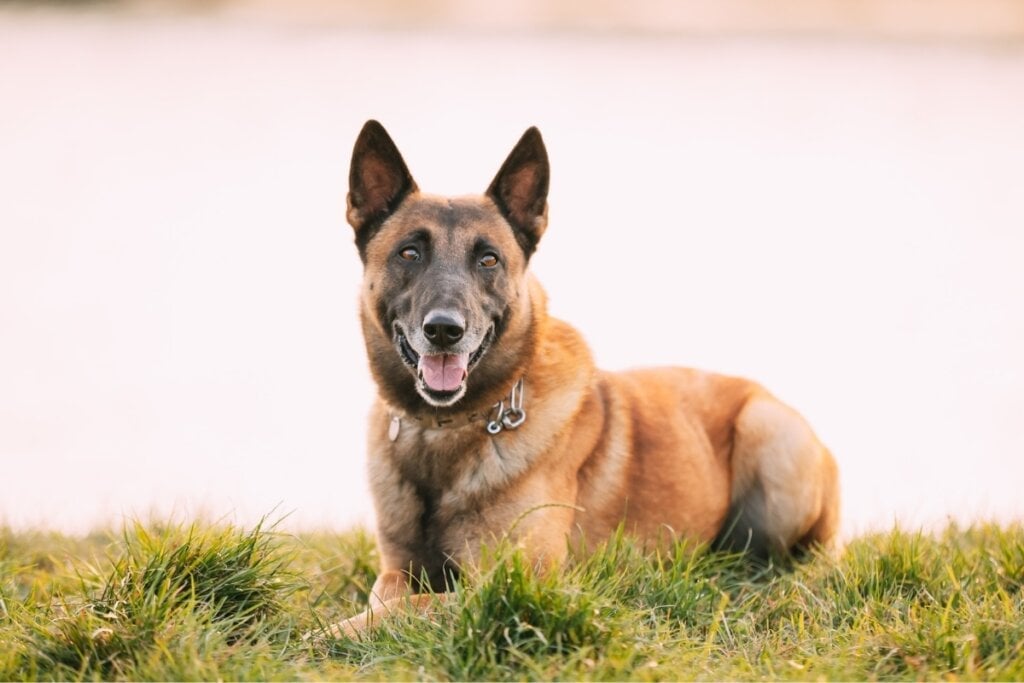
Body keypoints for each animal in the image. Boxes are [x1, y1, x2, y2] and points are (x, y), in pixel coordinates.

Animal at [335, 121, 839, 634]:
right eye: (409, 253)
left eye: (489, 260)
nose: (444, 330)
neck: (449, 429)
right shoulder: (399, 568)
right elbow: (385, 595)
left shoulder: (511, 585)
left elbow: (406, 608)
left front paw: (328, 632)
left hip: (771, 438)